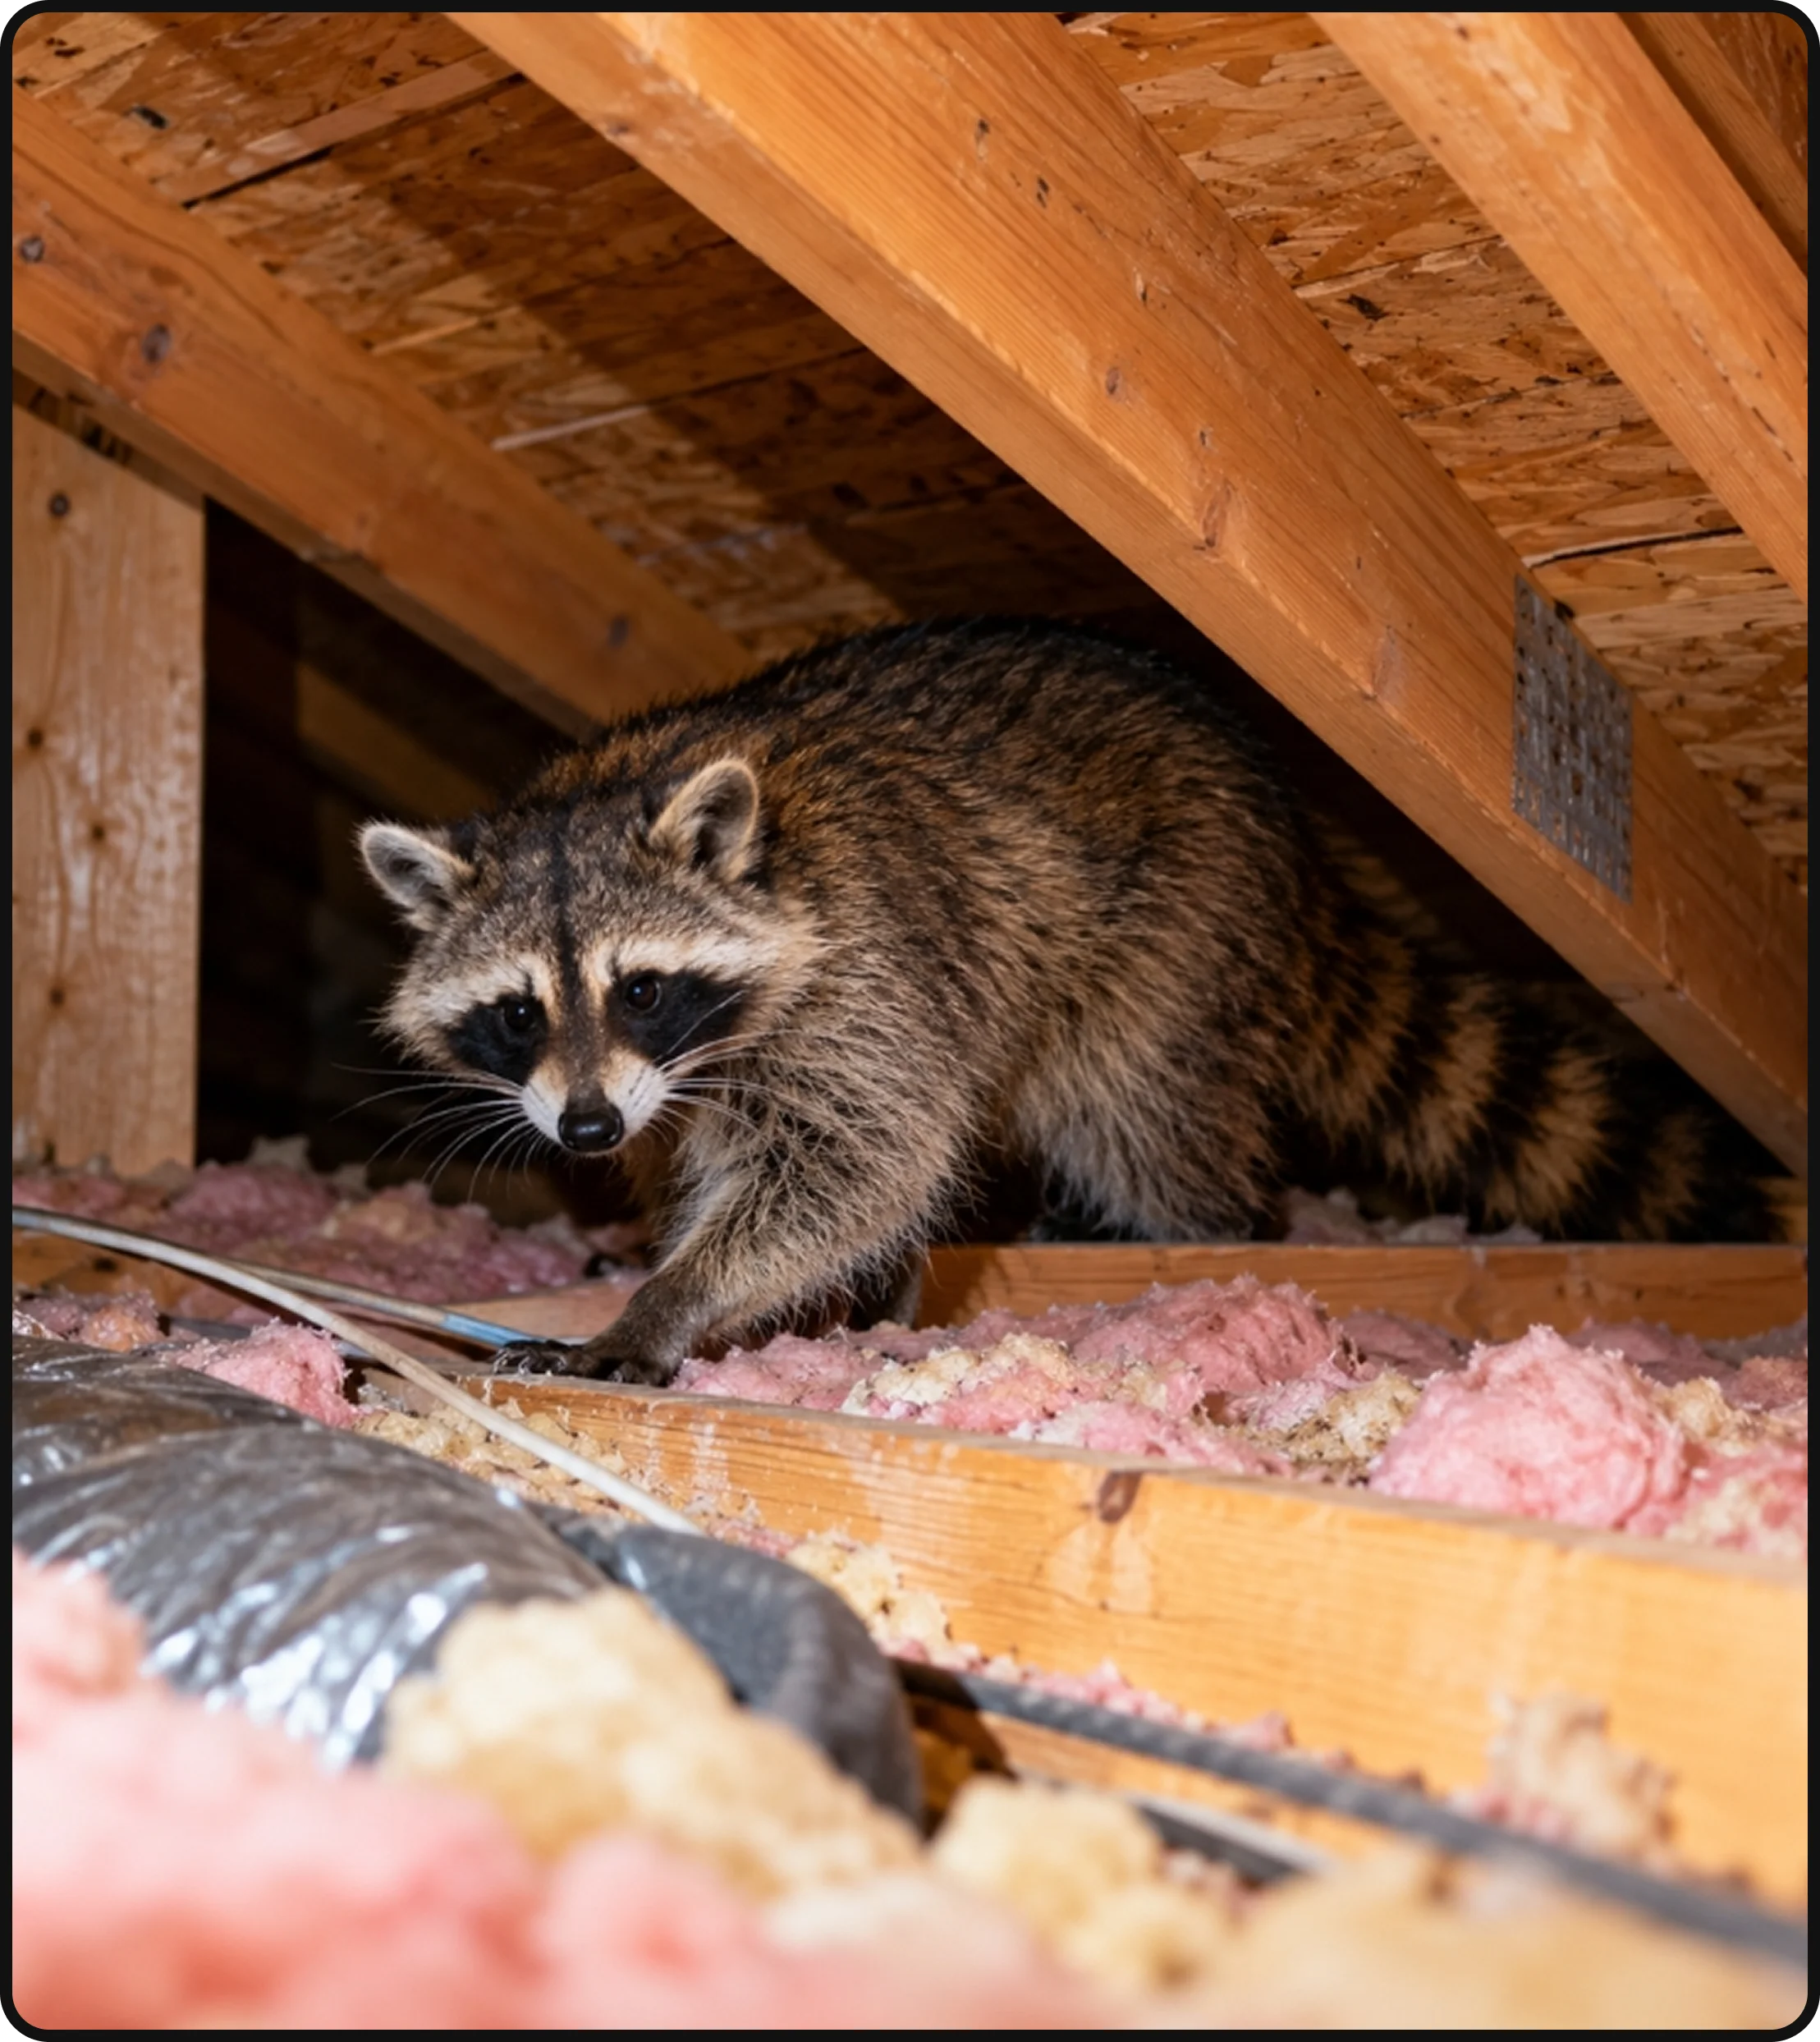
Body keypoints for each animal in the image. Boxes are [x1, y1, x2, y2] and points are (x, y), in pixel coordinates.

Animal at [360, 619, 1777, 1384]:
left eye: (643, 986)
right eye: (518, 1013)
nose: (587, 1132)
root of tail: (1300, 850)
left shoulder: (860, 977)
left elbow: (861, 1159)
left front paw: (674, 1298)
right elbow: (735, 1157)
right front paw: (658, 1240)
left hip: (1178, 932)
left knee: (1140, 1112)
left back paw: (1191, 1226)